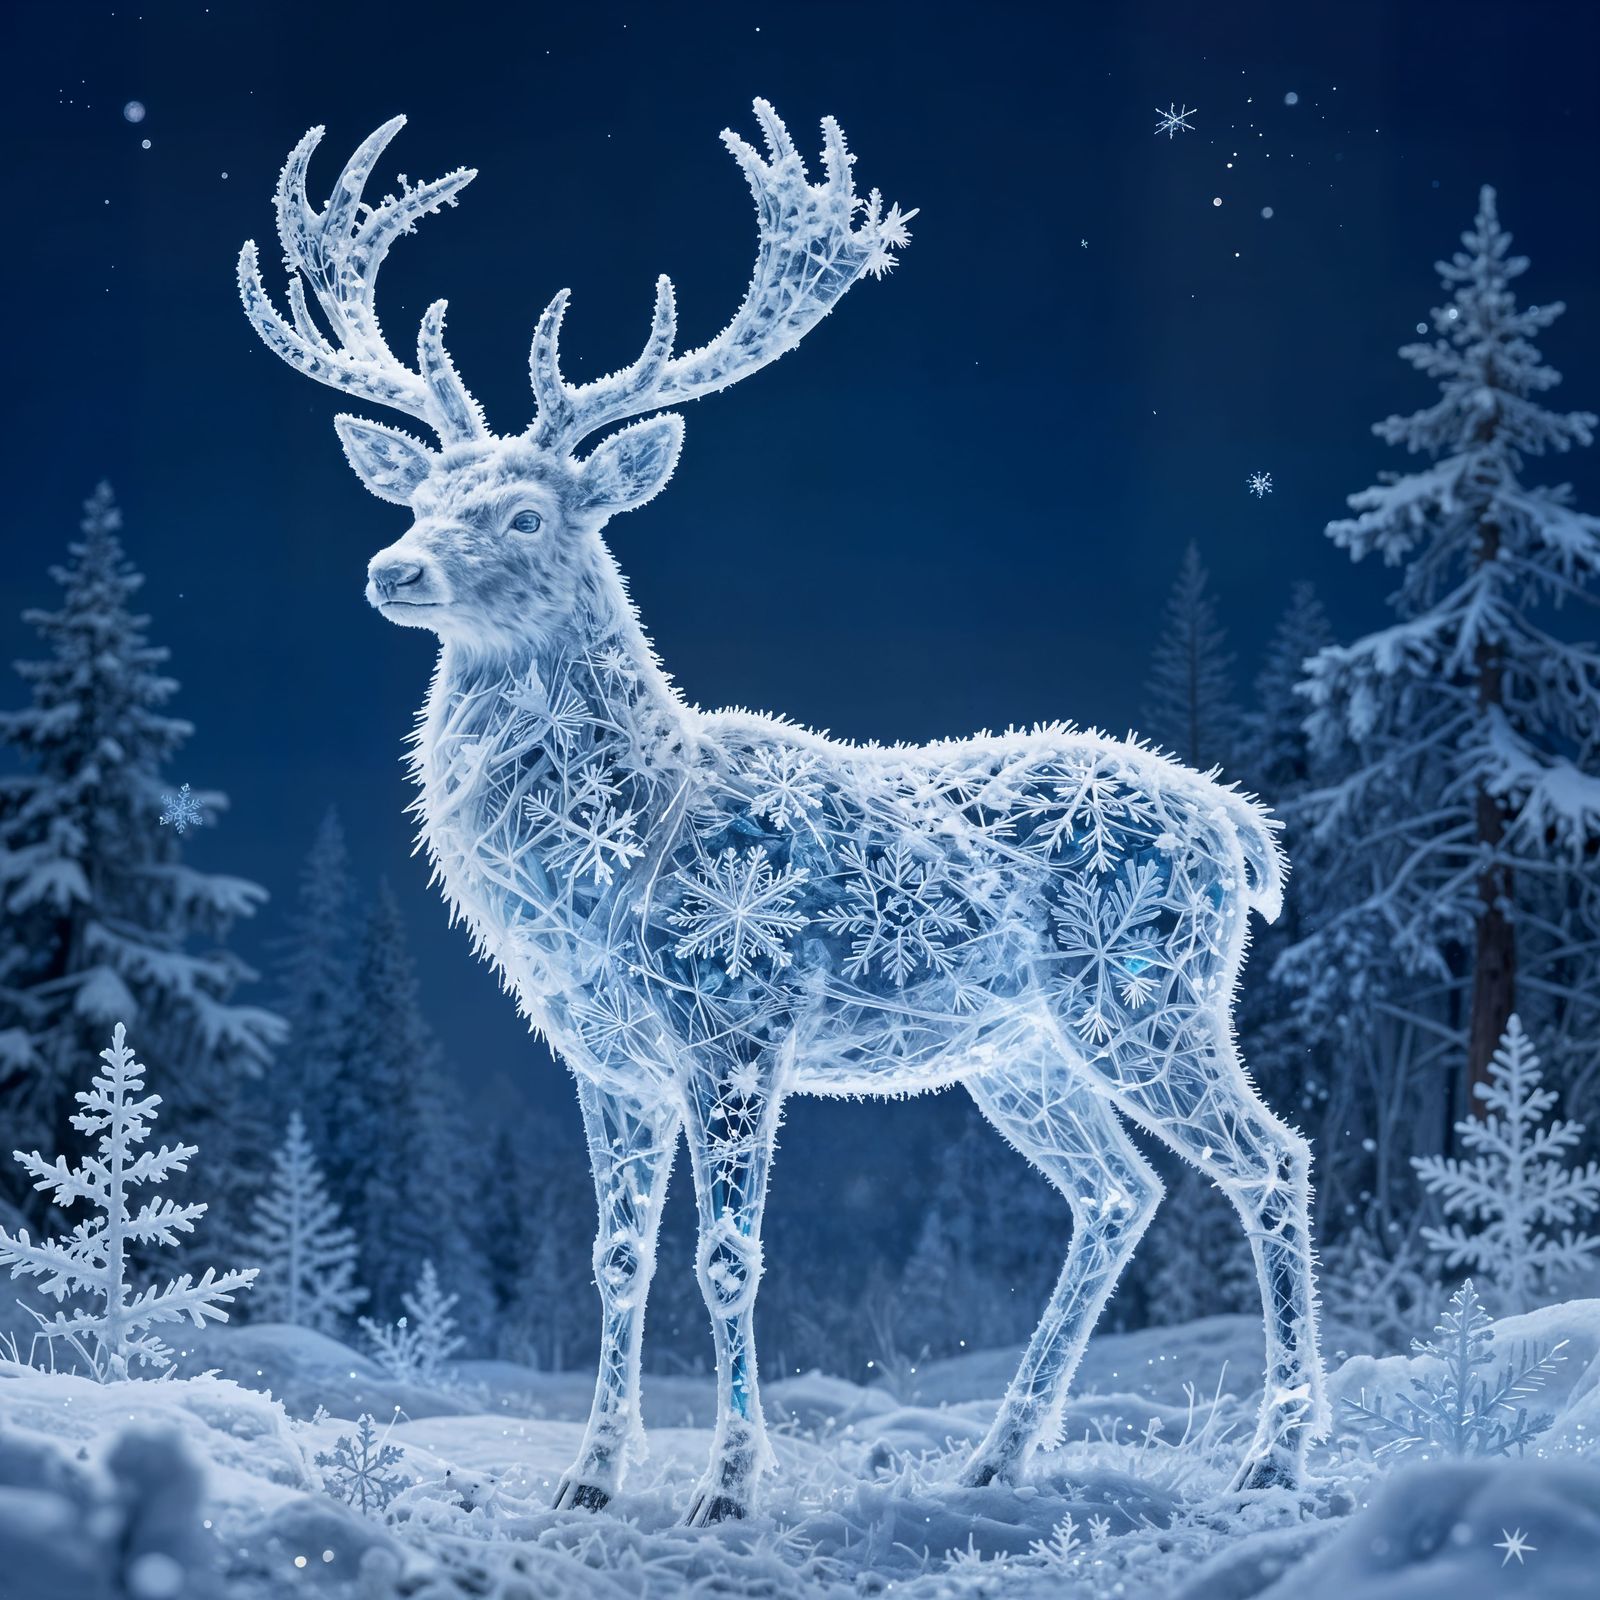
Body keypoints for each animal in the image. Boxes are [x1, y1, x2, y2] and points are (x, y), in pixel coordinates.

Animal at [239, 102, 1325, 1524]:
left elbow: (729, 1253)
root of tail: (1240, 829)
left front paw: (728, 1485)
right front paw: (589, 1478)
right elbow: (616, 1257)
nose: (393, 568)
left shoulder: (738, 1024)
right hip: (1017, 1046)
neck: (613, 859)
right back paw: (998, 1456)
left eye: (526, 512)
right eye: (418, 499)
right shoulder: (604, 1054)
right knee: (1117, 1189)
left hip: (1144, 990)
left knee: (1271, 1157)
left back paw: (1277, 1456)